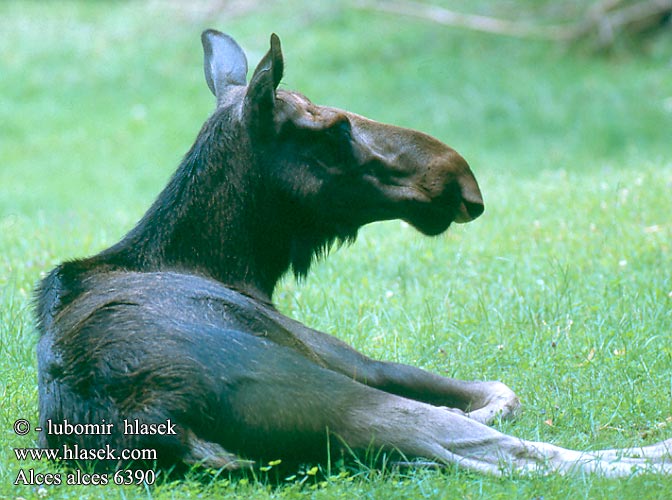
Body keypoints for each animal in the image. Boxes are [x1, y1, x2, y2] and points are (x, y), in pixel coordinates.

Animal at [32, 29, 672, 474]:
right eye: (337, 128)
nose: (459, 180)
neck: (243, 266)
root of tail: (152, 422)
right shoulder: (350, 358)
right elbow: (501, 392)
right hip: (330, 391)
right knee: (513, 456)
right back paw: (651, 457)